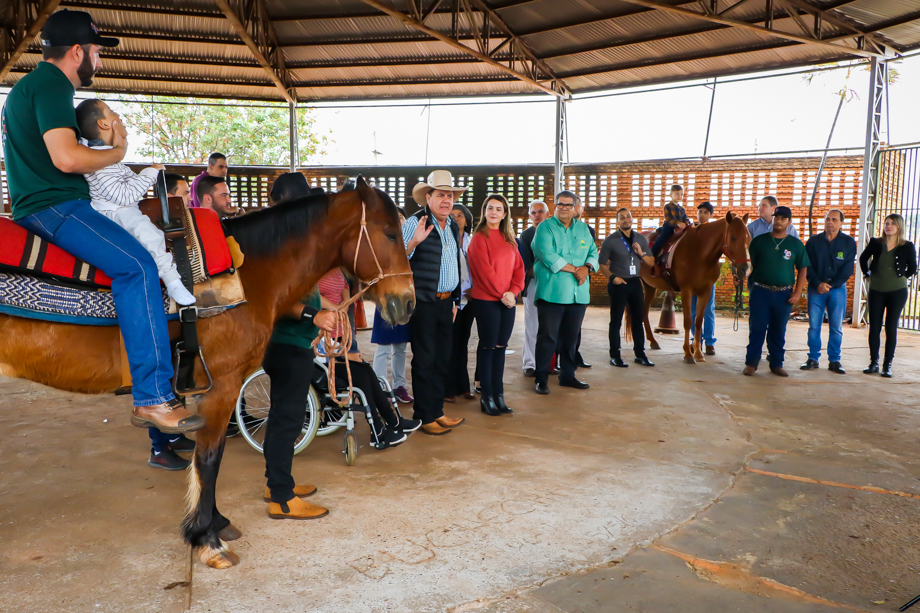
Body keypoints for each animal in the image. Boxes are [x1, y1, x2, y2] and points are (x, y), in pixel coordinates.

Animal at [0, 178, 414, 568]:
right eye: (391, 233)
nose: (407, 303)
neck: (251, 271)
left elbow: (210, 456)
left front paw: (217, 523)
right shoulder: (223, 384)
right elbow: (209, 458)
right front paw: (205, 538)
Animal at [640, 212, 748, 360]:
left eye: (747, 237)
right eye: (733, 237)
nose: (744, 269)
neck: (700, 252)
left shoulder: (705, 292)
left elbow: (698, 321)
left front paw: (698, 353)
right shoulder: (686, 291)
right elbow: (688, 321)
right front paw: (688, 354)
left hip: (649, 286)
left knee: (644, 311)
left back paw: (653, 341)